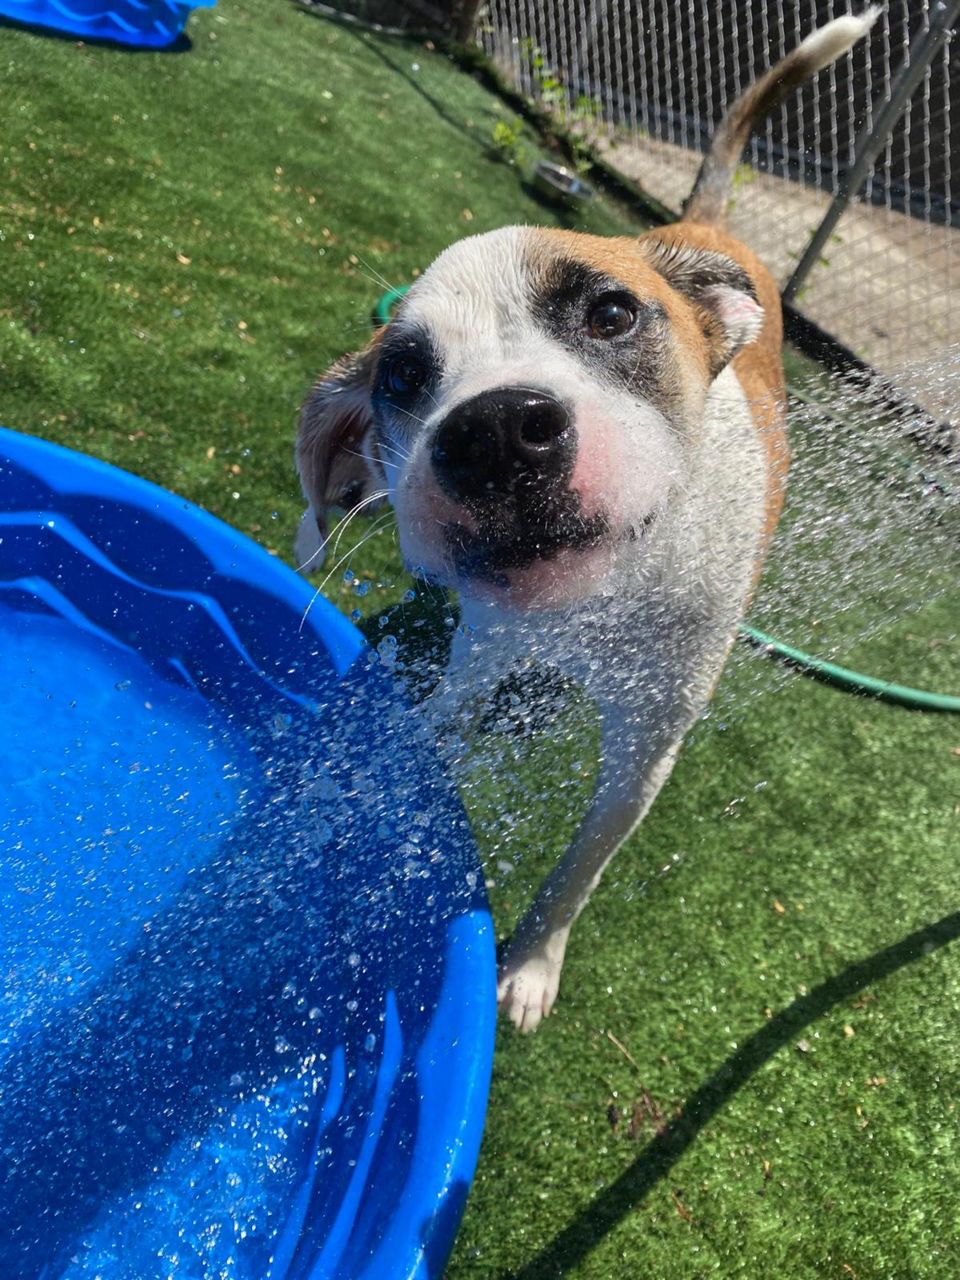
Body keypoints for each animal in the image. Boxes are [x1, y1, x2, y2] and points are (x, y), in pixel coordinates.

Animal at [296, 10, 885, 1029]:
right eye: (402, 375)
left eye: (611, 314)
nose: (496, 433)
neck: (598, 605)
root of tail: (698, 228)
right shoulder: (481, 652)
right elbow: (431, 737)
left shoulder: (648, 742)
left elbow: (580, 867)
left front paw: (532, 964)